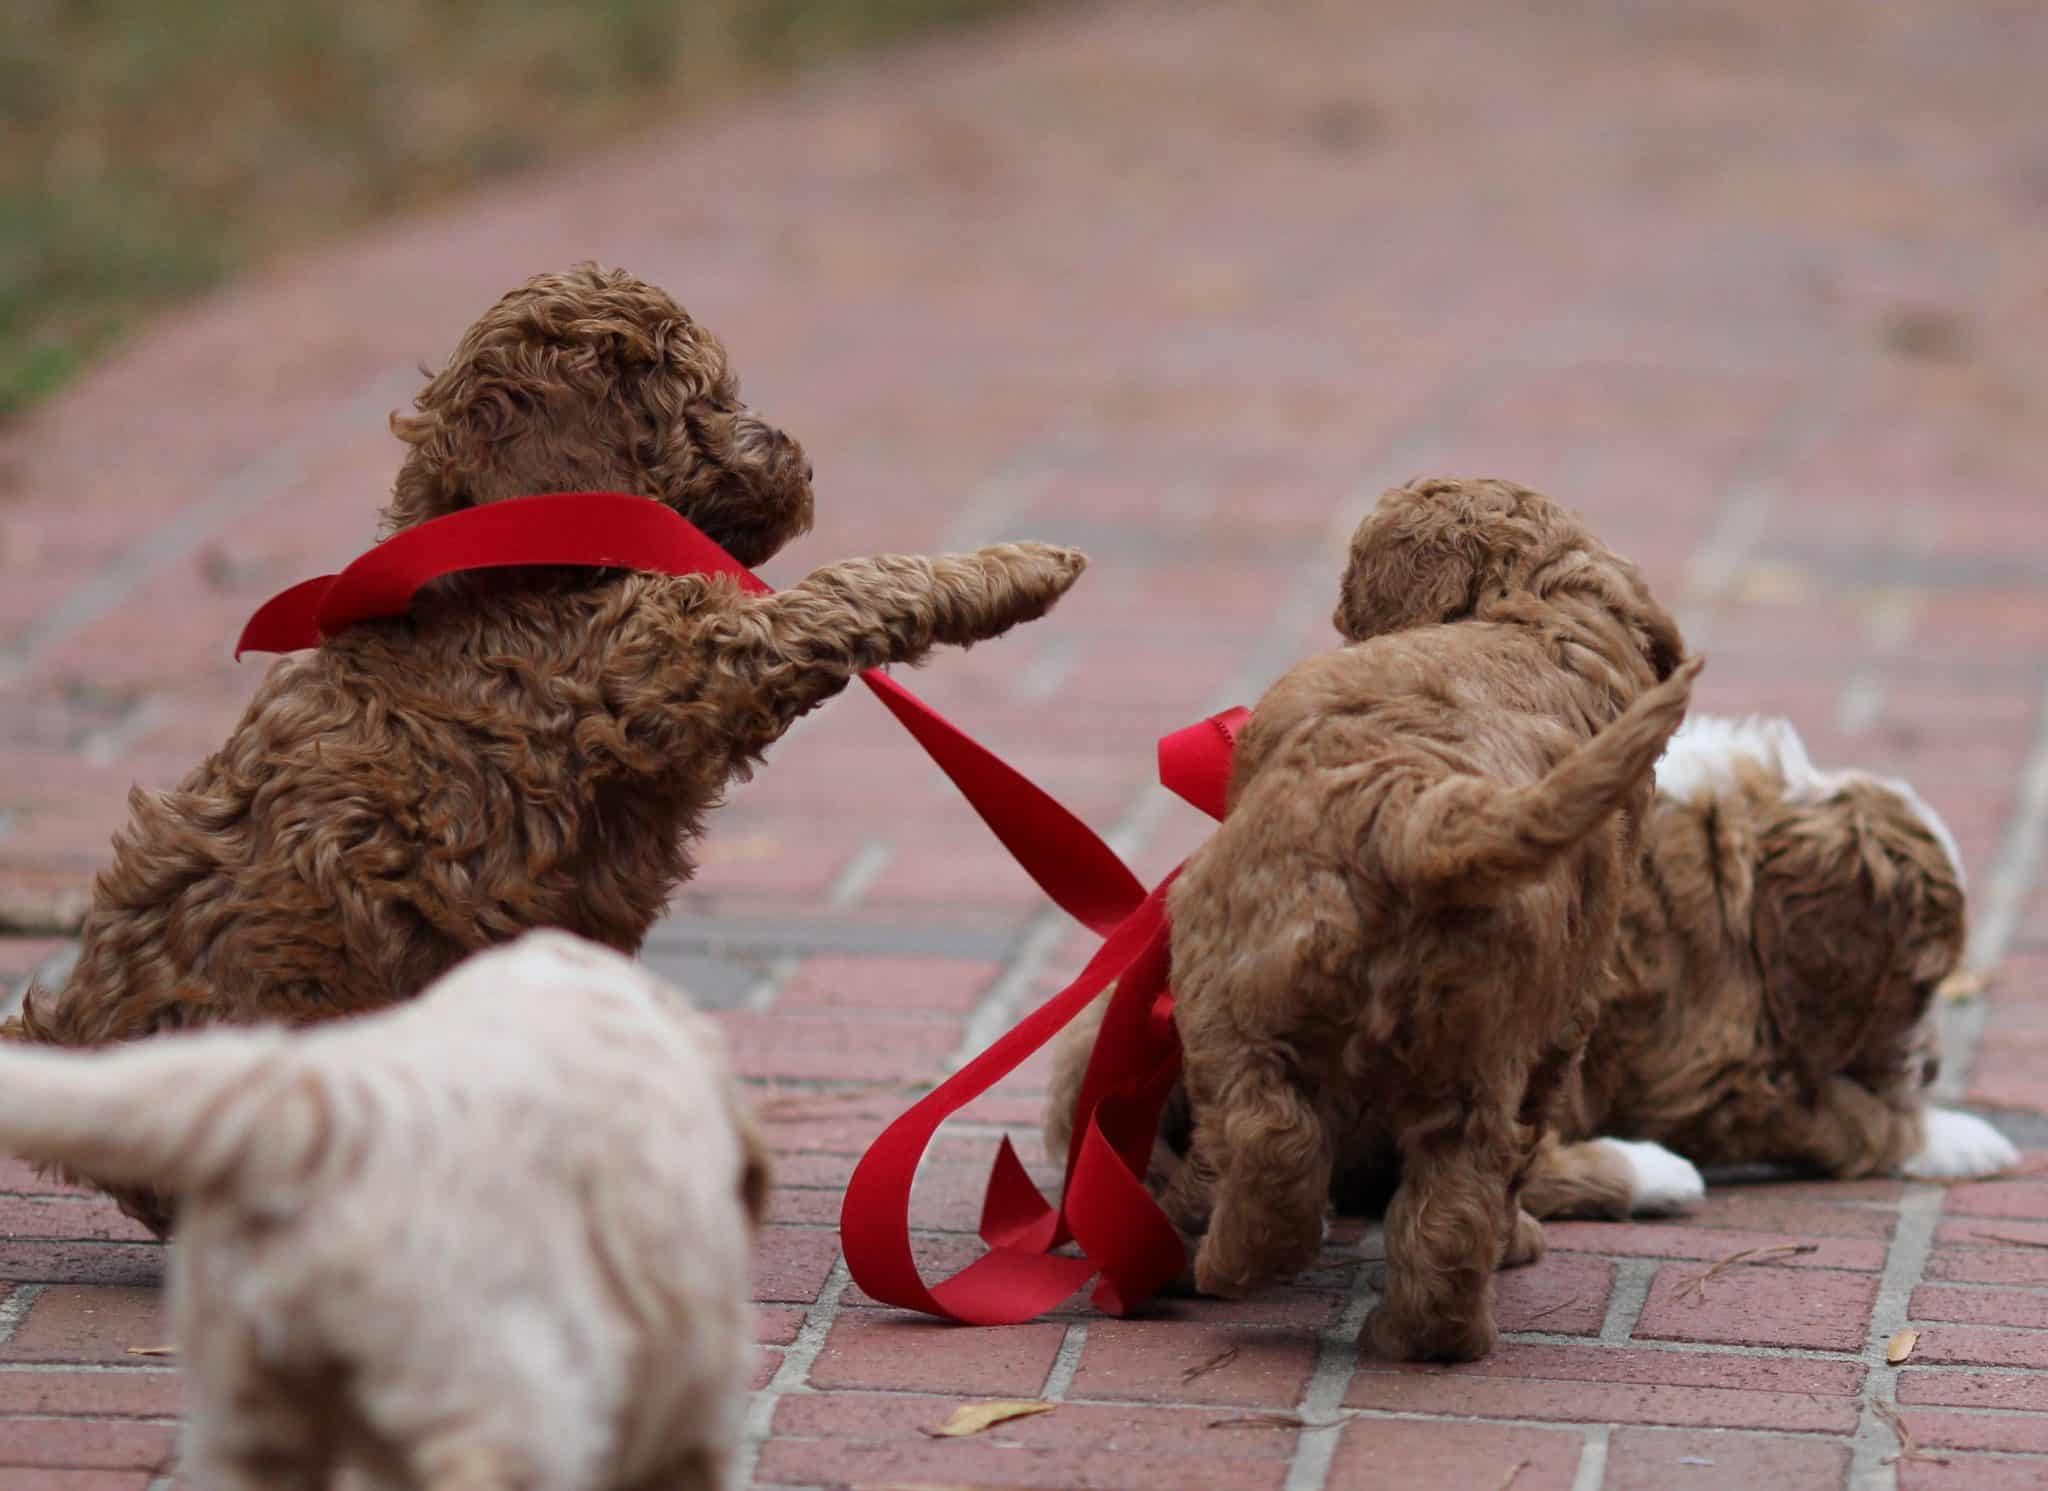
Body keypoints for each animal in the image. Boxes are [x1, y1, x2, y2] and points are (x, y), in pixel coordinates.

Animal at [9, 264, 1085, 1234]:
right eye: (701, 403)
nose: (803, 464)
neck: (514, 555)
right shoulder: (672, 664)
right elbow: (842, 591)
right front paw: (1014, 569)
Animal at [1147, 476, 1696, 1362]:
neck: (1542, 612)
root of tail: (1416, 814)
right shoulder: (1563, 1024)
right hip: (1479, 1044)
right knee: (1460, 1193)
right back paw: (1429, 1334)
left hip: (1222, 970)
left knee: (1269, 1131)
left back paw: (1228, 1256)